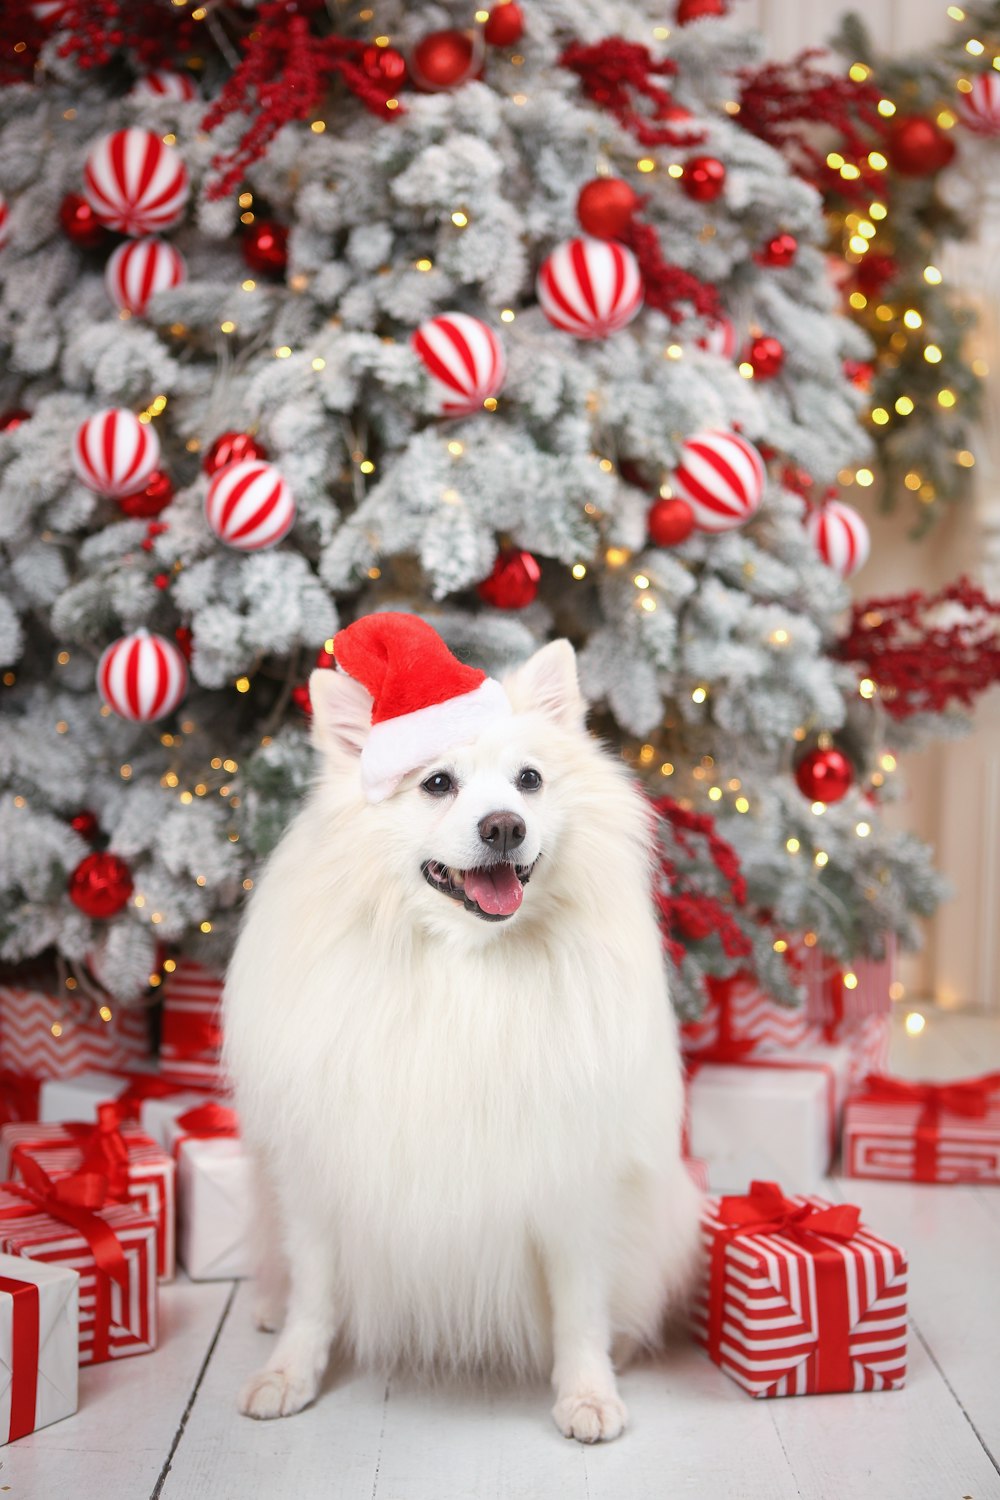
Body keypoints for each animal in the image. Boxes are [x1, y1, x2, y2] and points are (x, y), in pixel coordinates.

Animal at [223, 618, 701, 1440]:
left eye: (529, 781)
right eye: (437, 784)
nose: (503, 825)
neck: (466, 962)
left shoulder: (574, 1179)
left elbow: (580, 1306)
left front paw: (587, 1391)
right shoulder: (318, 1174)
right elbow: (315, 1292)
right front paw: (290, 1372)